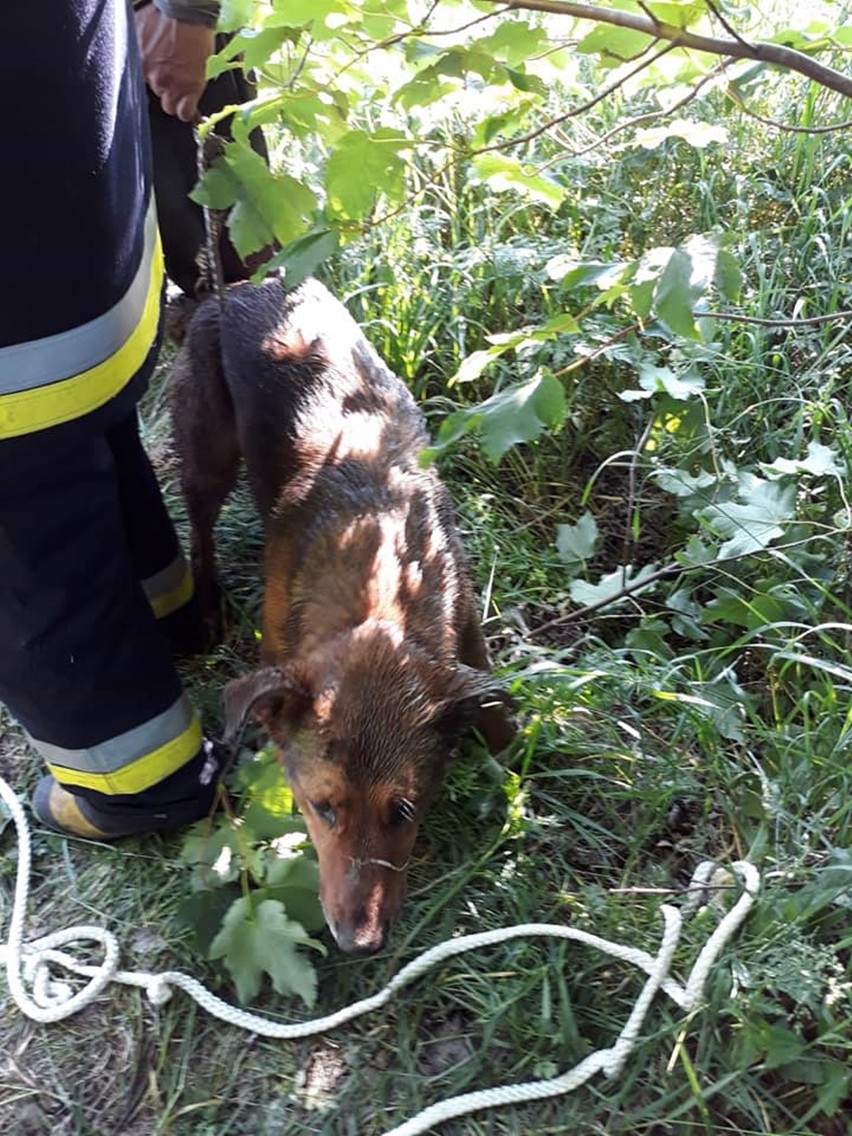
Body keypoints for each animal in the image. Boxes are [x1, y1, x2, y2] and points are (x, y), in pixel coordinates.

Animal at [170, 279, 511, 954]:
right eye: (322, 808)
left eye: (403, 810)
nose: (361, 944)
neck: (377, 575)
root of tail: (244, 284)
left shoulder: (464, 621)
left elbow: (490, 700)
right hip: (207, 449)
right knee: (199, 522)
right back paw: (208, 599)